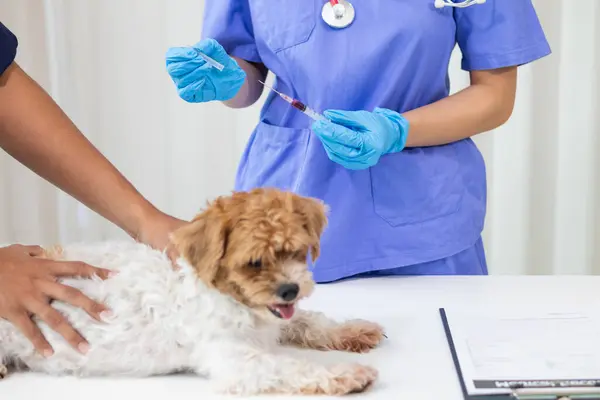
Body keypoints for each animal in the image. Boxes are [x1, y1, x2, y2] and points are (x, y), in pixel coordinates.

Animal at [0, 189, 384, 396]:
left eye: (297, 251)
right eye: (254, 262)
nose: (290, 290)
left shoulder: (276, 317)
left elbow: (307, 321)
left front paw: (350, 330)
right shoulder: (237, 361)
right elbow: (292, 366)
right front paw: (346, 374)